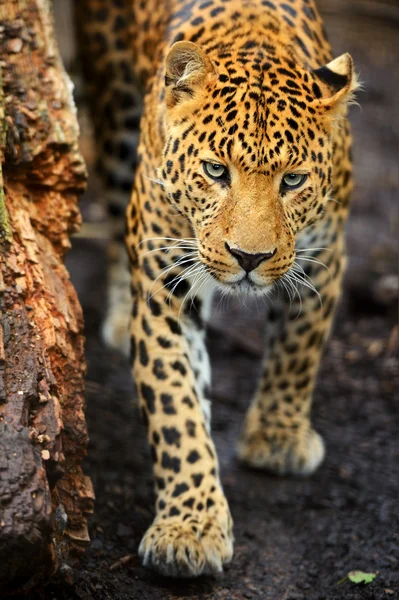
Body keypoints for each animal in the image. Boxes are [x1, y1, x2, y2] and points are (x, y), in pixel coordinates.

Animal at [75, 0, 360, 580]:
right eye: (215, 170)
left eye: (292, 180)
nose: (249, 259)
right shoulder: (165, 289)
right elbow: (177, 409)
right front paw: (189, 528)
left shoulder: (324, 258)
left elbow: (299, 351)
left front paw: (277, 436)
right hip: (114, 107)